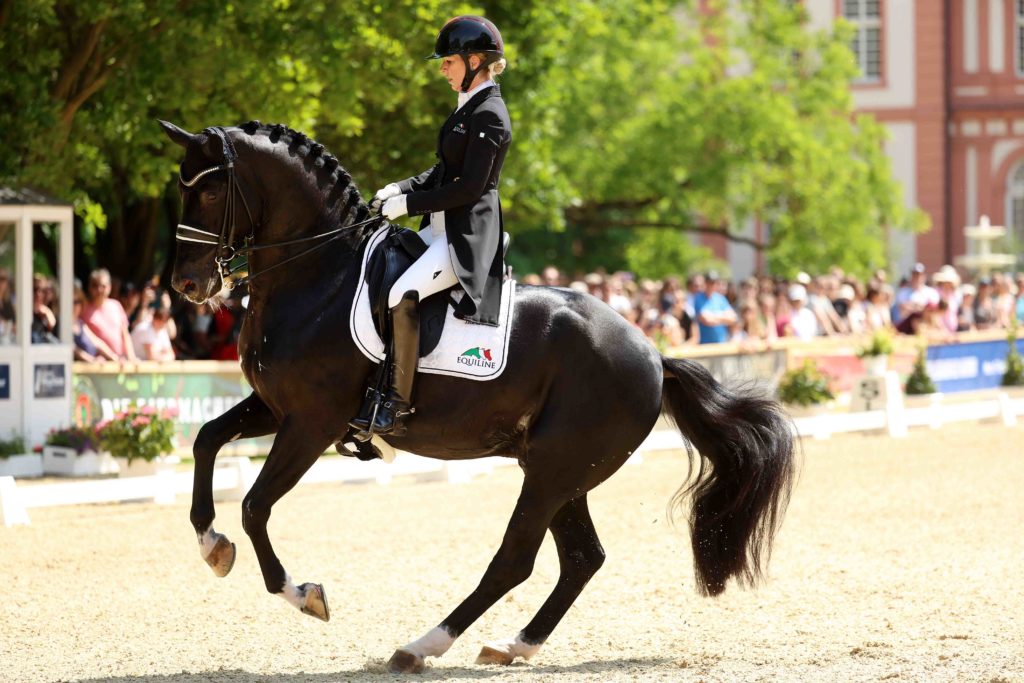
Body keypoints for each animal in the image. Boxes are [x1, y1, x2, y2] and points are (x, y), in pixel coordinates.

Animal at [161, 118, 798, 671]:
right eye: (181, 186)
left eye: (211, 190)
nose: (188, 285)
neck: (318, 275)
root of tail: (653, 356)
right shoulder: (276, 408)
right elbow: (205, 441)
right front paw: (212, 545)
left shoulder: (312, 422)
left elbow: (255, 505)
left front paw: (302, 593)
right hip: (562, 472)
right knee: (581, 559)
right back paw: (513, 645)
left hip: (553, 472)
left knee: (515, 560)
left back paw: (421, 646)